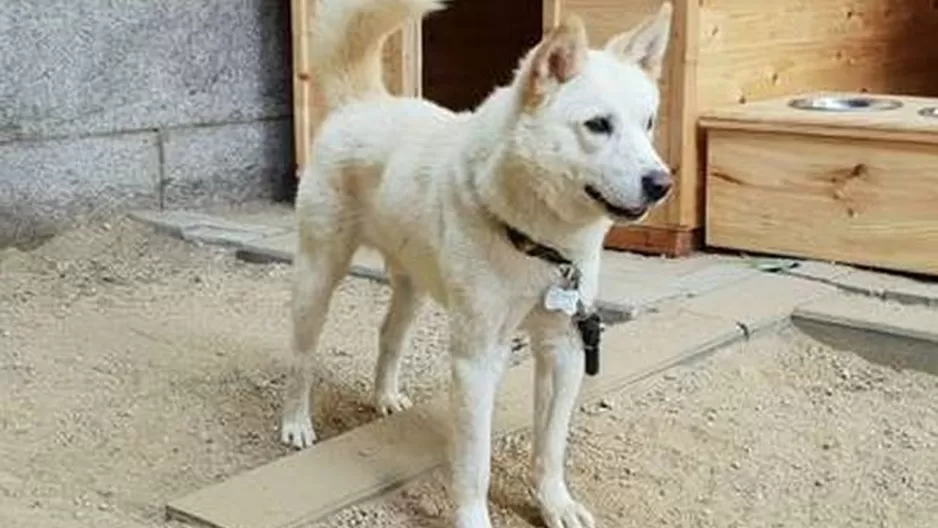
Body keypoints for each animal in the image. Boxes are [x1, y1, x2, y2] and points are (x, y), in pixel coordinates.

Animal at [282, 2, 668, 524]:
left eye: (648, 123)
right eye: (598, 125)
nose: (662, 183)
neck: (539, 242)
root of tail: (361, 103)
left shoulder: (562, 348)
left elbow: (550, 447)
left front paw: (555, 504)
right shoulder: (477, 360)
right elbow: (474, 463)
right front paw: (473, 516)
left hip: (413, 288)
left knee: (388, 337)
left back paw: (386, 398)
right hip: (317, 277)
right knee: (301, 357)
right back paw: (296, 424)